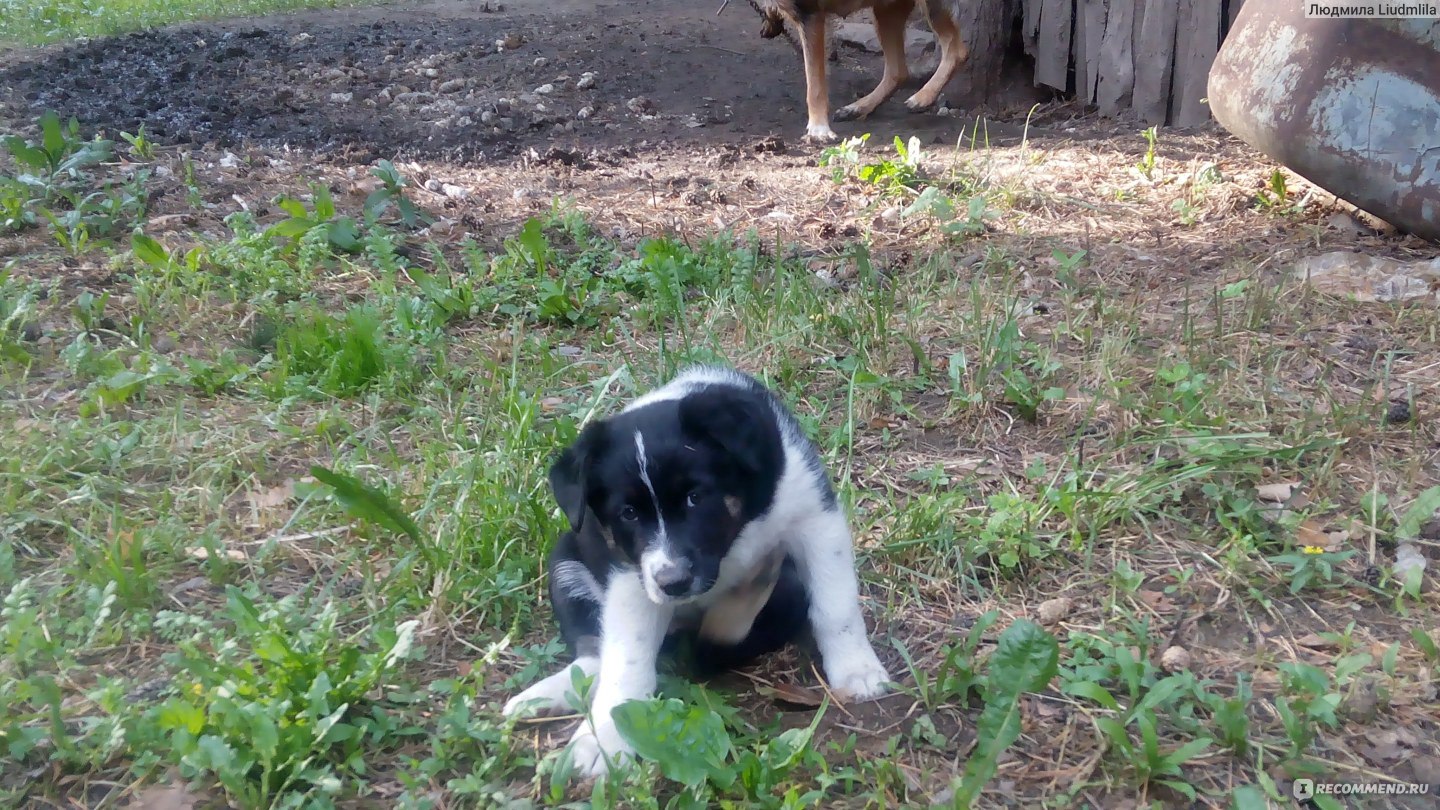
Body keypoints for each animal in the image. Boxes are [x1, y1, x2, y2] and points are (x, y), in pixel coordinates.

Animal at [504, 363, 887, 772]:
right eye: (628, 513)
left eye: (695, 497)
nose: (673, 583)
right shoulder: (632, 575)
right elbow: (626, 659)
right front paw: (604, 740)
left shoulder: (814, 518)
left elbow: (836, 608)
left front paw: (857, 671)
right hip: (564, 562)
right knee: (594, 654)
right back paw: (541, 697)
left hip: (789, 589)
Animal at [754, 0, 967, 141]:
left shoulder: (810, 15)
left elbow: (815, 86)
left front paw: (819, 129)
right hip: (886, 10)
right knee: (898, 71)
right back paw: (857, 108)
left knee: (958, 52)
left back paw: (923, 97)